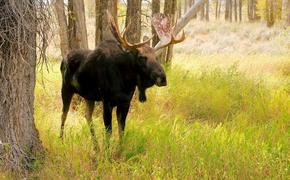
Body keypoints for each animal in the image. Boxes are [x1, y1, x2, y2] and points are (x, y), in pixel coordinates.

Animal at [59, 13, 185, 150]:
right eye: (142, 57)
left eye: (156, 57)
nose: (162, 78)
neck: (126, 81)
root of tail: (63, 60)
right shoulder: (107, 102)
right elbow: (109, 131)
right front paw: (107, 152)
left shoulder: (125, 102)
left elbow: (121, 130)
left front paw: (119, 151)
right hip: (66, 89)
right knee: (64, 115)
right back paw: (61, 140)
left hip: (89, 96)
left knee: (88, 116)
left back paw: (96, 147)